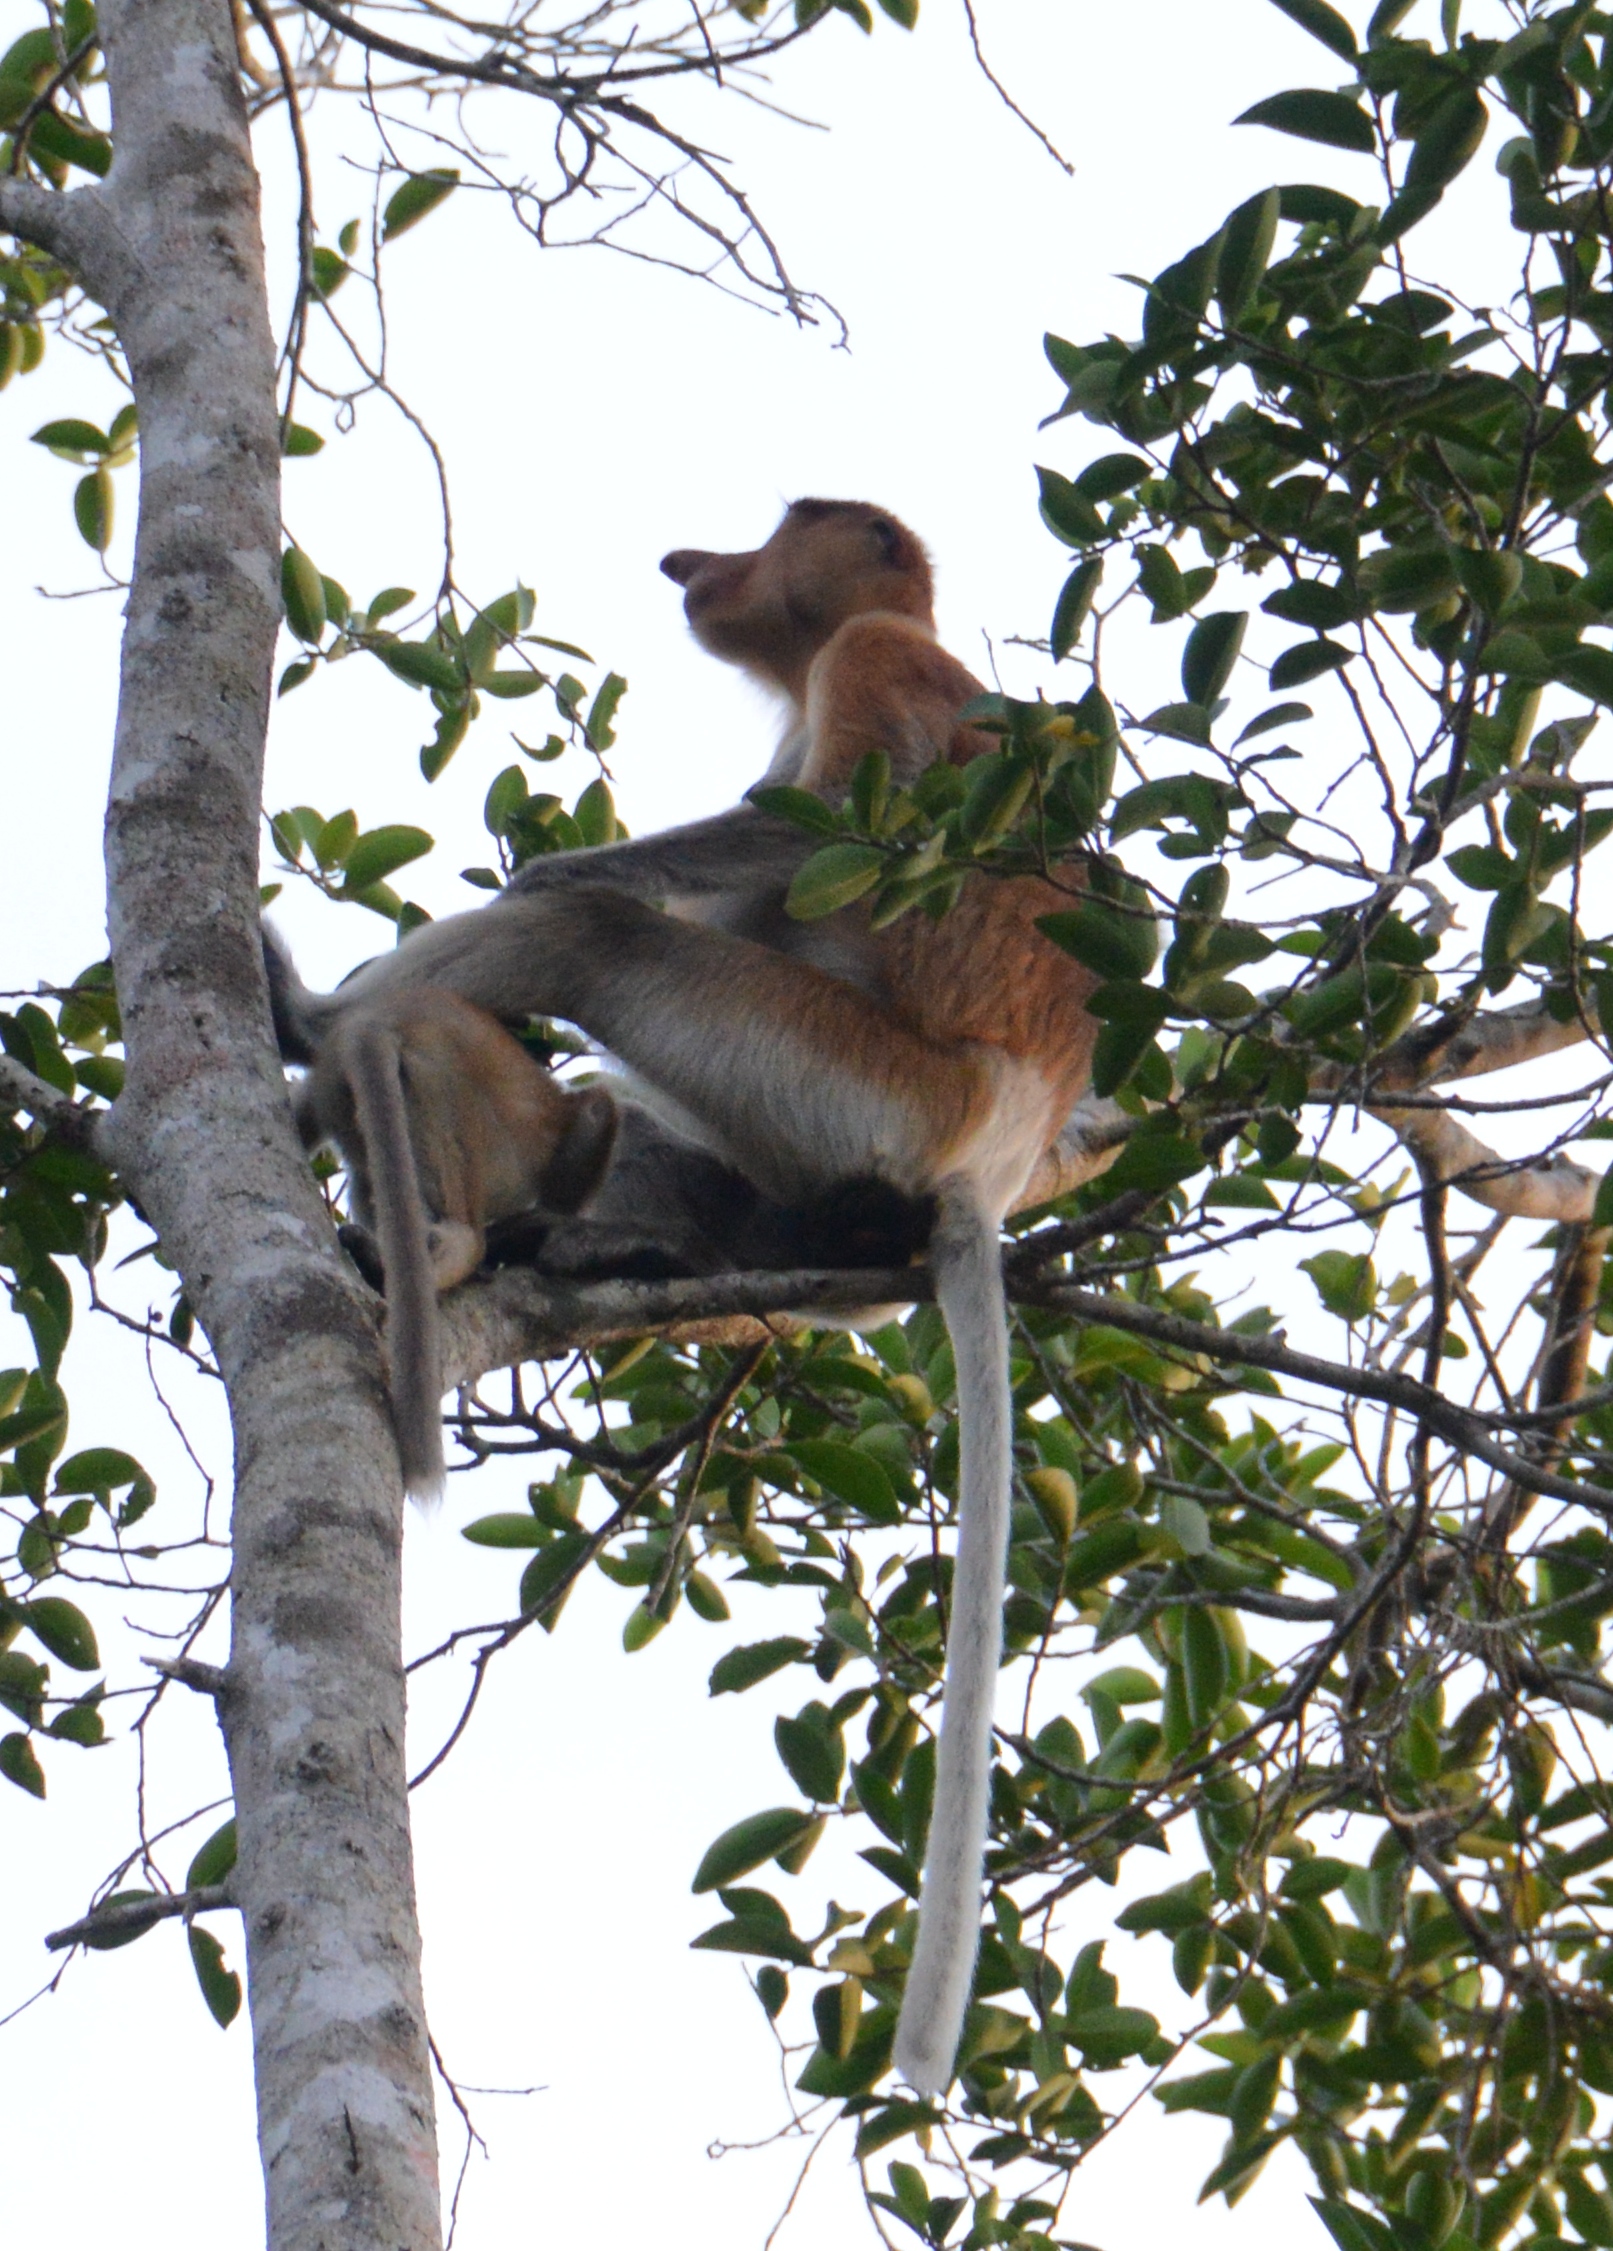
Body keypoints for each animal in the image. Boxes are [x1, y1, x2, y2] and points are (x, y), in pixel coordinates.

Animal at [273, 958, 611, 1503]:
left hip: (351, 1092)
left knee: (360, 1165)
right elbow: (596, 1116)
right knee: (464, 1231)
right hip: (441, 1097)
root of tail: (380, 1022)